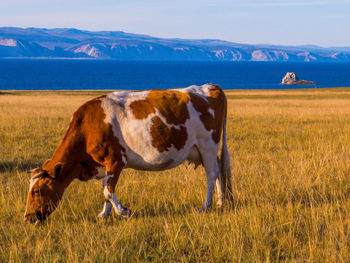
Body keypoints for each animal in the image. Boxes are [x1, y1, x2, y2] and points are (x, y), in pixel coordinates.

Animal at [24, 83, 232, 224]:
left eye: (37, 190)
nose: (28, 217)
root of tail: (211, 87)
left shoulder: (116, 160)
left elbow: (108, 190)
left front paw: (124, 211)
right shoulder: (106, 165)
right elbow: (106, 190)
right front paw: (104, 214)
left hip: (208, 144)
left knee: (211, 174)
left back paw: (206, 206)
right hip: (202, 150)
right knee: (219, 171)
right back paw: (221, 203)